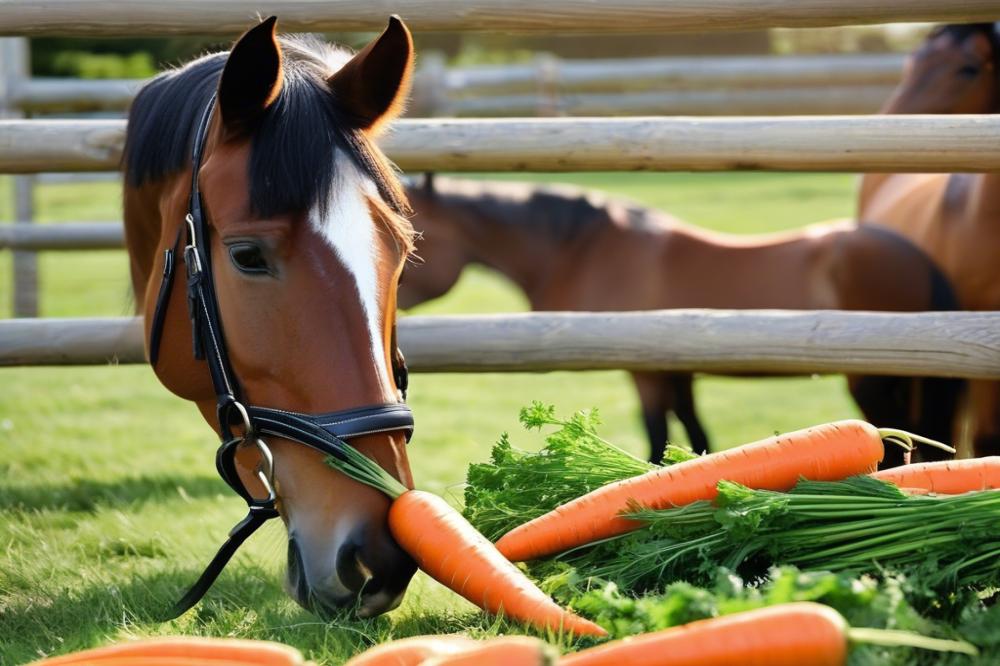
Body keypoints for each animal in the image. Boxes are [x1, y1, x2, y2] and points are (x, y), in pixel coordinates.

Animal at [400, 176, 960, 466]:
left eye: (410, 235)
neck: (586, 248)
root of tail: (915, 256)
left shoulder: (646, 371)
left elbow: (655, 435)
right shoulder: (677, 370)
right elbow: (693, 434)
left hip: (872, 380)